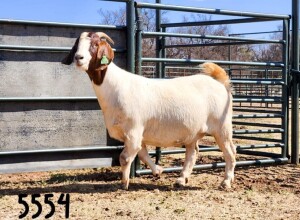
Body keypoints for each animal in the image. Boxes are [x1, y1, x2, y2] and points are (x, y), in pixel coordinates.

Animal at [62, 31, 237, 190]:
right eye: (77, 44)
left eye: (95, 44)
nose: (78, 58)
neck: (115, 87)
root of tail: (220, 82)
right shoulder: (136, 135)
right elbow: (143, 153)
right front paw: (158, 170)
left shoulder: (133, 131)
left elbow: (125, 157)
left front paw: (124, 183)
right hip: (193, 131)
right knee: (192, 152)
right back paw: (181, 179)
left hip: (222, 127)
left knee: (230, 152)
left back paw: (226, 182)